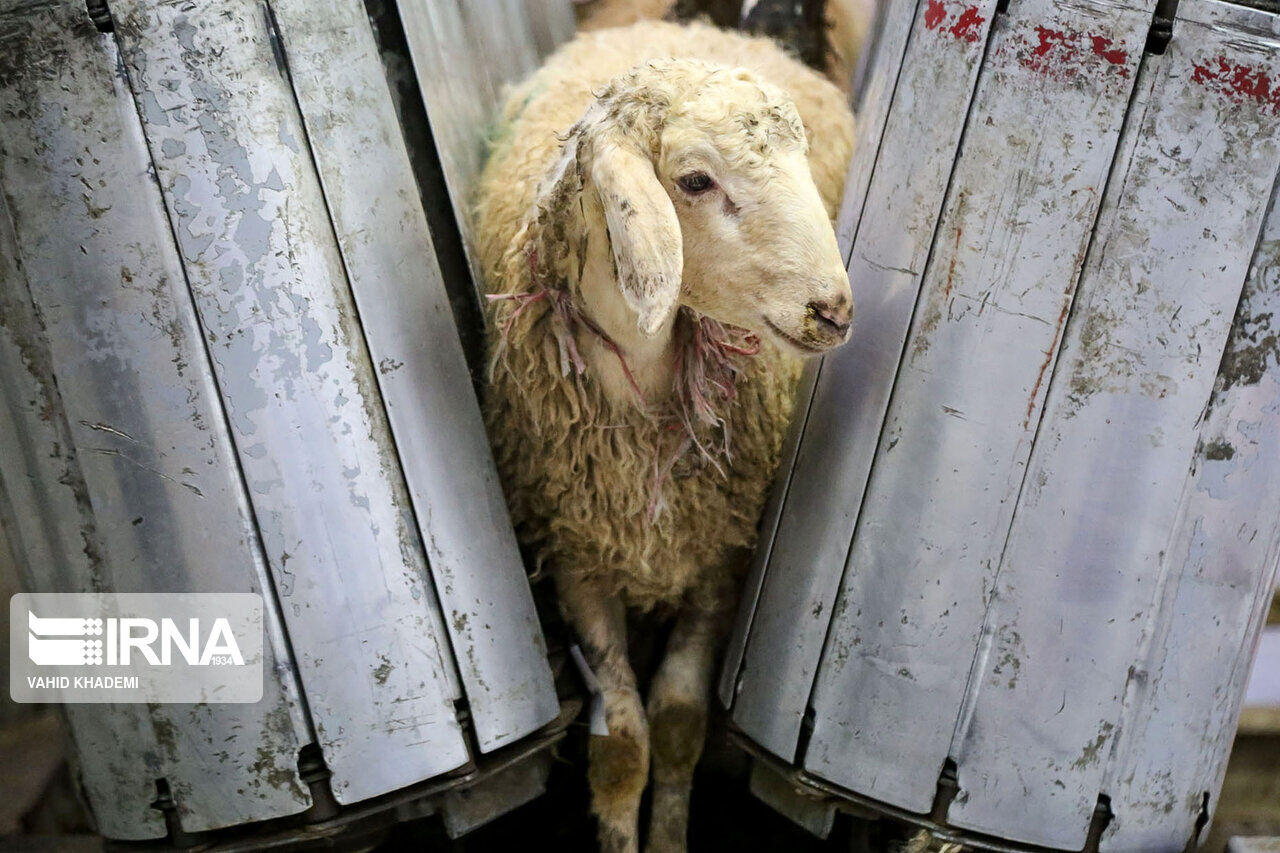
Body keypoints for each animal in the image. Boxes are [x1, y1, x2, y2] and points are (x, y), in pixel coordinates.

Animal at [481, 19, 860, 850]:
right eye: (693, 181)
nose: (834, 310)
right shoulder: (579, 555)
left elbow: (682, 722)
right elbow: (622, 746)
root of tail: (697, 27)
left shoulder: (721, 551)